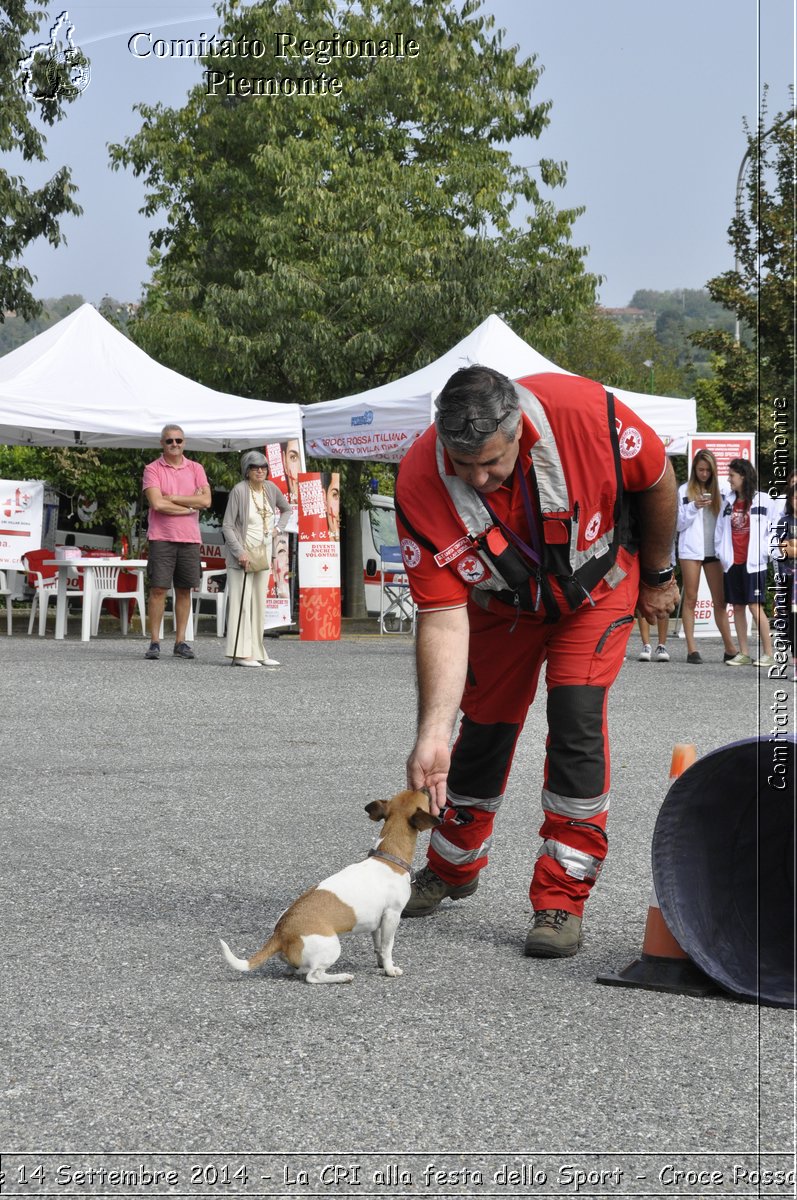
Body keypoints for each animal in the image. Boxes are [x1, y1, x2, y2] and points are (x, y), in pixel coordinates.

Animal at [218, 787, 441, 984]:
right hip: (332, 947)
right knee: (312, 976)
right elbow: (387, 948)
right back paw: (341, 977)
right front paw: (389, 969)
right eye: (424, 795)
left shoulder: (378, 923)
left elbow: (378, 946)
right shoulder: (392, 916)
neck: (388, 857)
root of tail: (281, 933)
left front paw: (379, 964)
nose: (425, 786)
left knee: (294, 970)